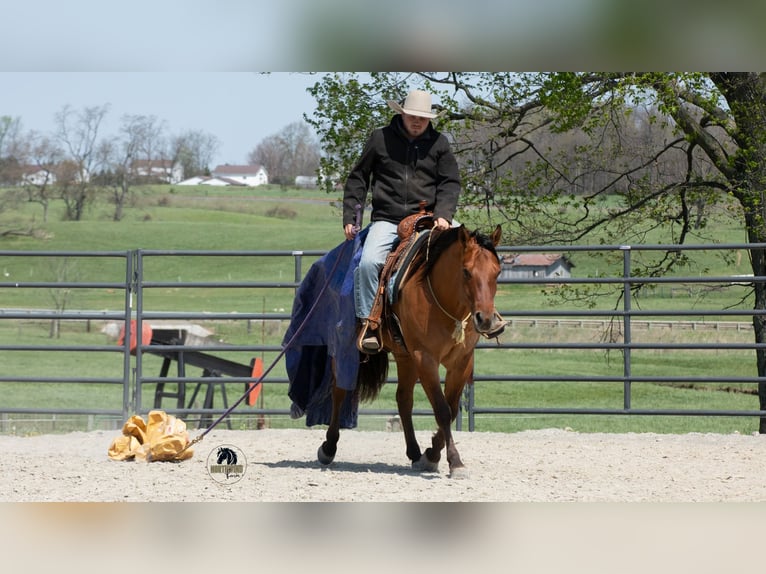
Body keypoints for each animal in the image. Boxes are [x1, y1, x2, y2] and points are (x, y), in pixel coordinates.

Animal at [317, 224, 504, 478]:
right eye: (466, 271)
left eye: (497, 272)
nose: (485, 320)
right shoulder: (425, 359)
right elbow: (442, 410)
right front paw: (454, 462)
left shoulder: (461, 362)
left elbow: (452, 408)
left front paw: (431, 455)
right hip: (345, 347)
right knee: (339, 391)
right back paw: (328, 447)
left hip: (405, 356)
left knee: (403, 399)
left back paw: (414, 452)